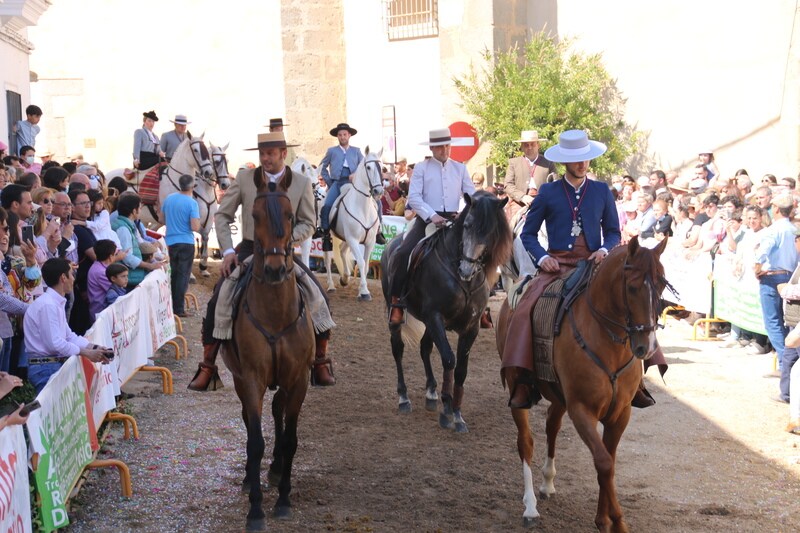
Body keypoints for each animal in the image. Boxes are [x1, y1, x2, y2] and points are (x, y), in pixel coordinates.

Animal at [222, 181, 318, 528]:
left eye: (290, 215)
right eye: (254, 215)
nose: (275, 270)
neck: (275, 313)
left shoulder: (298, 379)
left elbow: (290, 439)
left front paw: (284, 500)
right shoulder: (251, 379)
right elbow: (254, 441)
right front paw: (255, 509)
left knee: (278, 412)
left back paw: (276, 471)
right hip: (240, 379)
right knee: (251, 419)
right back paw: (251, 477)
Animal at [322, 148, 384, 300]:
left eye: (382, 167)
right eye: (368, 167)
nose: (378, 191)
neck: (362, 207)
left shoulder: (369, 242)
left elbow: (366, 265)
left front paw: (362, 289)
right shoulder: (353, 240)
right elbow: (360, 262)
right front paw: (364, 292)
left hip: (345, 238)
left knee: (342, 251)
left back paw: (345, 278)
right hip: (329, 238)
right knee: (327, 260)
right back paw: (331, 285)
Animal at [382, 191, 512, 432]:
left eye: (491, 231)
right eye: (467, 225)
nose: (466, 269)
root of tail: (391, 244)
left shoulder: (469, 328)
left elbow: (461, 369)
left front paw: (457, 415)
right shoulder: (435, 317)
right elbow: (449, 360)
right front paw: (447, 410)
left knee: (424, 348)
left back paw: (431, 392)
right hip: (397, 315)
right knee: (398, 349)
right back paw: (404, 398)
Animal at [496, 237, 672, 532]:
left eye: (661, 285)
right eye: (632, 287)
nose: (646, 347)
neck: (609, 343)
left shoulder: (620, 413)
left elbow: (608, 464)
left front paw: (605, 519)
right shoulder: (582, 411)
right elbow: (603, 463)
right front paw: (615, 521)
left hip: (558, 396)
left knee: (552, 425)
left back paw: (548, 481)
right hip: (517, 387)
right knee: (526, 442)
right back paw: (530, 506)